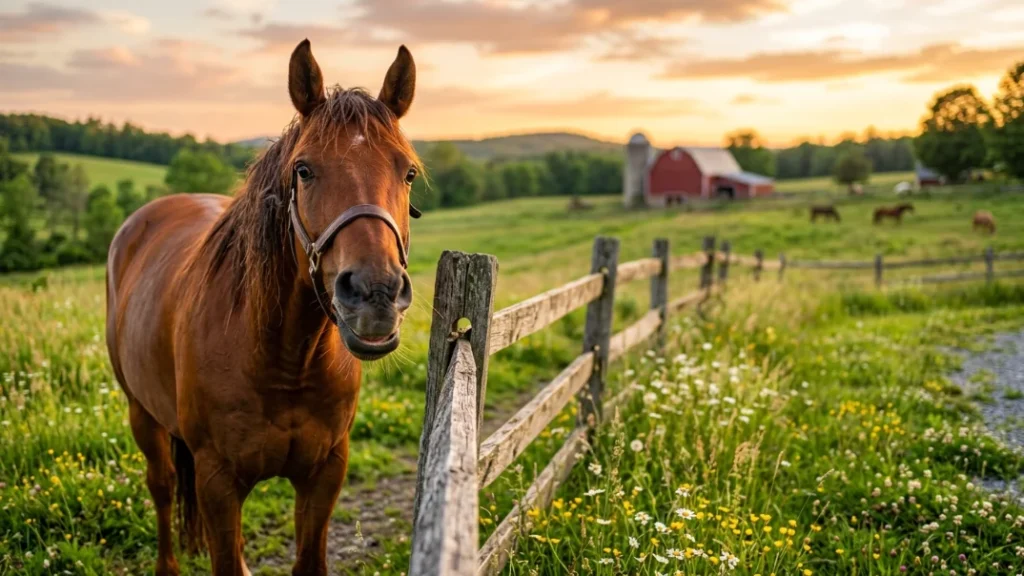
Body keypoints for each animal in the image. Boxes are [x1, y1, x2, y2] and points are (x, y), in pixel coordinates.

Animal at [105, 40, 420, 576]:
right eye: (304, 169)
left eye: (409, 172)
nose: (375, 294)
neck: (281, 359)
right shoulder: (216, 480)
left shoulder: (325, 472)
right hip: (141, 413)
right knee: (162, 487)